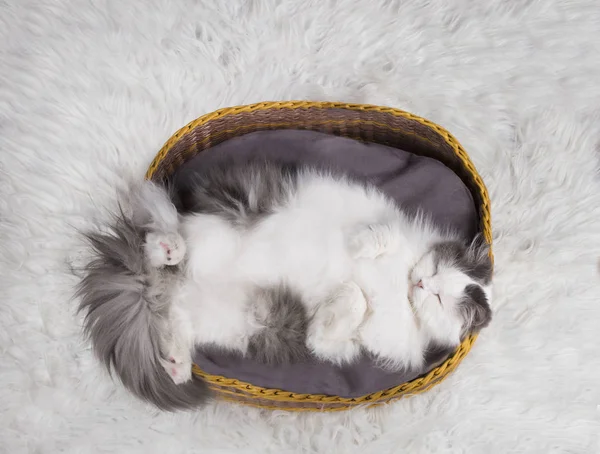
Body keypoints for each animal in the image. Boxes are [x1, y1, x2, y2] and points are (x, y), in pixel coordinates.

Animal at [76, 160, 492, 412]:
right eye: (434, 272)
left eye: (437, 298)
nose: (420, 282)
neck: (400, 289)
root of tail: (170, 284)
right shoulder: (391, 225)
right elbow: (380, 237)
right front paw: (360, 248)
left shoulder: (363, 340)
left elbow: (340, 319)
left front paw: (339, 300)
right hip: (215, 227)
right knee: (161, 242)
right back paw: (167, 249)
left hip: (229, 318)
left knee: (174, 320)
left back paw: (178, 365)